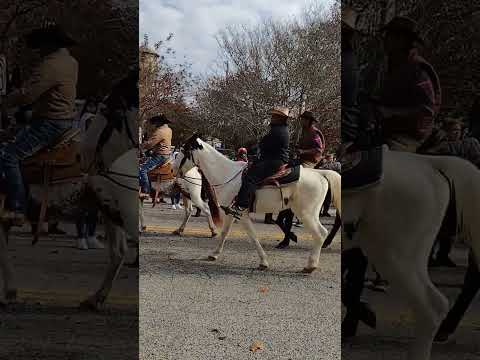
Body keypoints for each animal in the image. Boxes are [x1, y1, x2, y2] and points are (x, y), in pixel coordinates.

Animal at [177, 136, 342, 272]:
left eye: (183, 151)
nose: (174, 169)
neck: (227, 174)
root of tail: (321, 173)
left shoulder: (242, 214)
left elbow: (253, 236)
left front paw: (263, 261)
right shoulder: (230, 212)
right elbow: (224, 233)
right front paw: (214, 254)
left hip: (305, 213)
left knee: (320, 233)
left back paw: (310, 265)